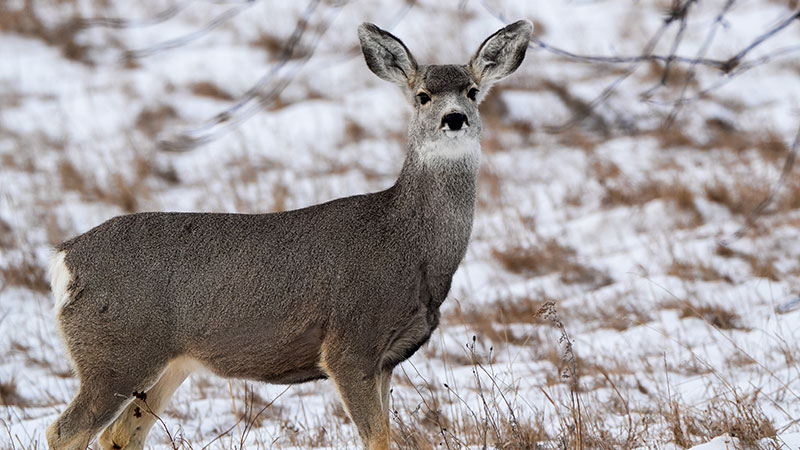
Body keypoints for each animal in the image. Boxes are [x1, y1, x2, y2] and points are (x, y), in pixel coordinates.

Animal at [46, 19, 533, 450]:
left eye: (472, 91)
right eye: (422, 96)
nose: (454, 118)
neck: (409, 245)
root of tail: (65, 261)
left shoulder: (387, 358)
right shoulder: (349, 343)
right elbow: (377, 439)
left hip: (166, 363)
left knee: (119, 435)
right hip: (116, 354)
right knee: (64, 432)